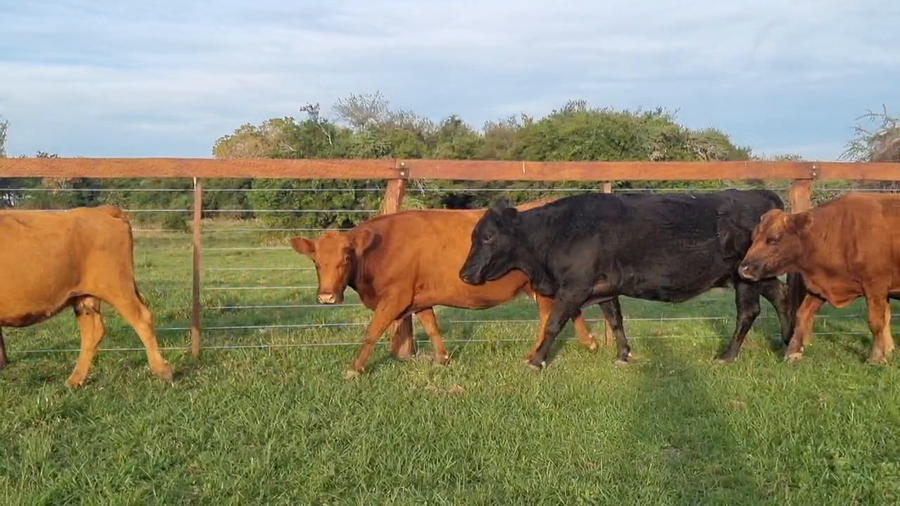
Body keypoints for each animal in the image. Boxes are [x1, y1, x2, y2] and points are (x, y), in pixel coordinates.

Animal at [0, 206, 173, 387]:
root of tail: (101, 210)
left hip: (117, 287)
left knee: (142, 319)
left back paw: (162, 370)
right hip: (85, 297)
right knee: (93, 332)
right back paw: (75, 379)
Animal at [289, 201, 603, 378]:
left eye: (345, 259)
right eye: (316, 261)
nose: (326, 296)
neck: (383, 247)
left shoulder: (396, 297)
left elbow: (372, 332)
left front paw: (354, 368)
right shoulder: (419, 298)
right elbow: (432, 327)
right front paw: (443, 359)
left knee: (551, 317)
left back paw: (538, 355)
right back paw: (587, 342)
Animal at [458, 189, 797, 370]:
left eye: (488, 236)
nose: (463, 273)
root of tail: (759, 195)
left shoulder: (574, 287)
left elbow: (554, 324)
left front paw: (536, 360)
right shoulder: (605, 288)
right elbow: (615, 320)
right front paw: (623, 355)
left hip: (748, 276)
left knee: (753, 309)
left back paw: (729, 355)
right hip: (747, 277)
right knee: (774, 299)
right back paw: (785, 344)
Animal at [738, 192, 900, 364]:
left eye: (774, 239)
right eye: (753, 237)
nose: (743, 269)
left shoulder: (875, 287)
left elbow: (877, 322)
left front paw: (876, 357)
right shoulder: (820, 288)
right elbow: (802, 314)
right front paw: (793, 353)